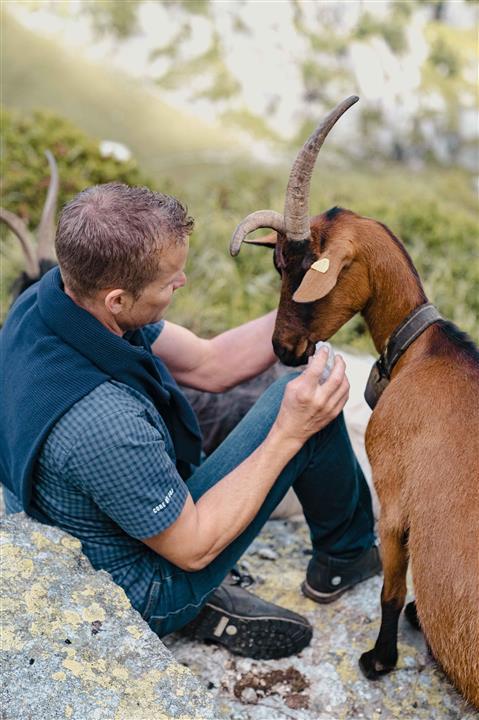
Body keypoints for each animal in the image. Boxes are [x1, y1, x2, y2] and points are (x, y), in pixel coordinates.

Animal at [230, 96, 479, 708]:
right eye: (276, 264)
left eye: (303, 270)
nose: (283, 349)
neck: (422, 349)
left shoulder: (392, 502)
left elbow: (388, 590)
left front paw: (379, 659)